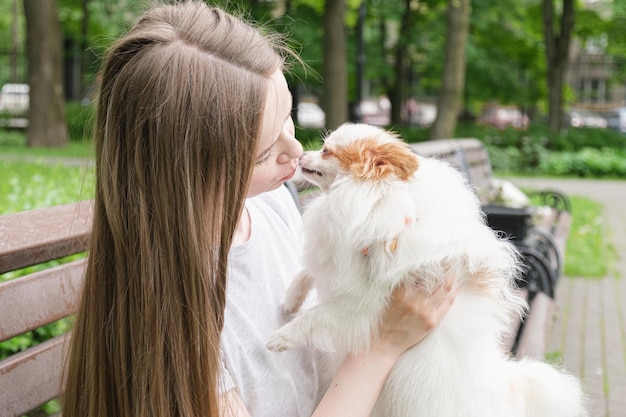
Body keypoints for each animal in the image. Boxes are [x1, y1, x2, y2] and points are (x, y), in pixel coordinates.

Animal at [264, 122, 584, 416]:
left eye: (326, 151)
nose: (301, 155)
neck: (376, 202)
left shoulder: (364, 303)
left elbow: (318, 316)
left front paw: (282, 337)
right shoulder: (336, 256)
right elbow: (308, 271)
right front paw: (292, 299)